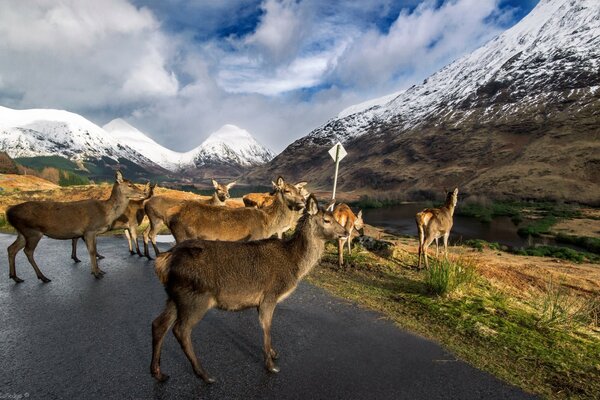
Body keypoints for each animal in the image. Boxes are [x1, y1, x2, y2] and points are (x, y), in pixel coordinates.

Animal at [7, 171, 148, 282]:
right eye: (130, 185)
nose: (144, 193)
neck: (105, 212)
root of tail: (9, 213)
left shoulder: (92, 232)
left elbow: (94, 249)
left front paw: (99, 270)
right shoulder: (90, 229)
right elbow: (92, 251)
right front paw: (96, 273)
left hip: (22, 232)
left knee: (11, 249)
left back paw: (15, 277)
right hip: (32, 231)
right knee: (28, 251)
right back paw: (42, 277)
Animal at [150, 195, 346, 382]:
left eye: (335, 217)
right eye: (326, 220)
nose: (345, 232)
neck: (294, 265)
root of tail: (163, 262)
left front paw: (274, 352)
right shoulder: (270, 295)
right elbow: (267, 327)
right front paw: (271, 365)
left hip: (174, 296)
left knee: (158, 324)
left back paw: (158, 373)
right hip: (195, 298)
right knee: (181, 330)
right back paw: (204, 374)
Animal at [168, 177, 304, 245]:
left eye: (299, 191)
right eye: (287, 190)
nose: (302, 201)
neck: (268, 224)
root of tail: (168, 216)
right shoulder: (254, 238)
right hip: (183, 237)